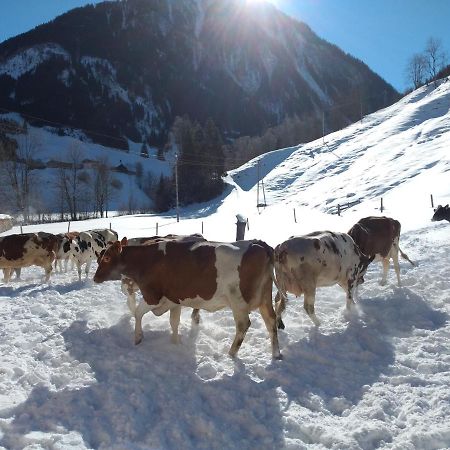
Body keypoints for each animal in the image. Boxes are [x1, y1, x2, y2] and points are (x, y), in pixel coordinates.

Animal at [93, 239, 282, 358]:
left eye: (107, 257)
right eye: (99, 257)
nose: (95, 278)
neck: (146, 260)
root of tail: (259, 244)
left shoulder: (153, 296)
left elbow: (138, 313)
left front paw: (138, 337)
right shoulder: (174, 299)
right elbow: (174, 322)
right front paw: (175, 343)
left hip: (238, 301)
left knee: (244, 325)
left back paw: (231, 353)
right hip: (264, 297)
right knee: (271, 321)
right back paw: (276, 354)